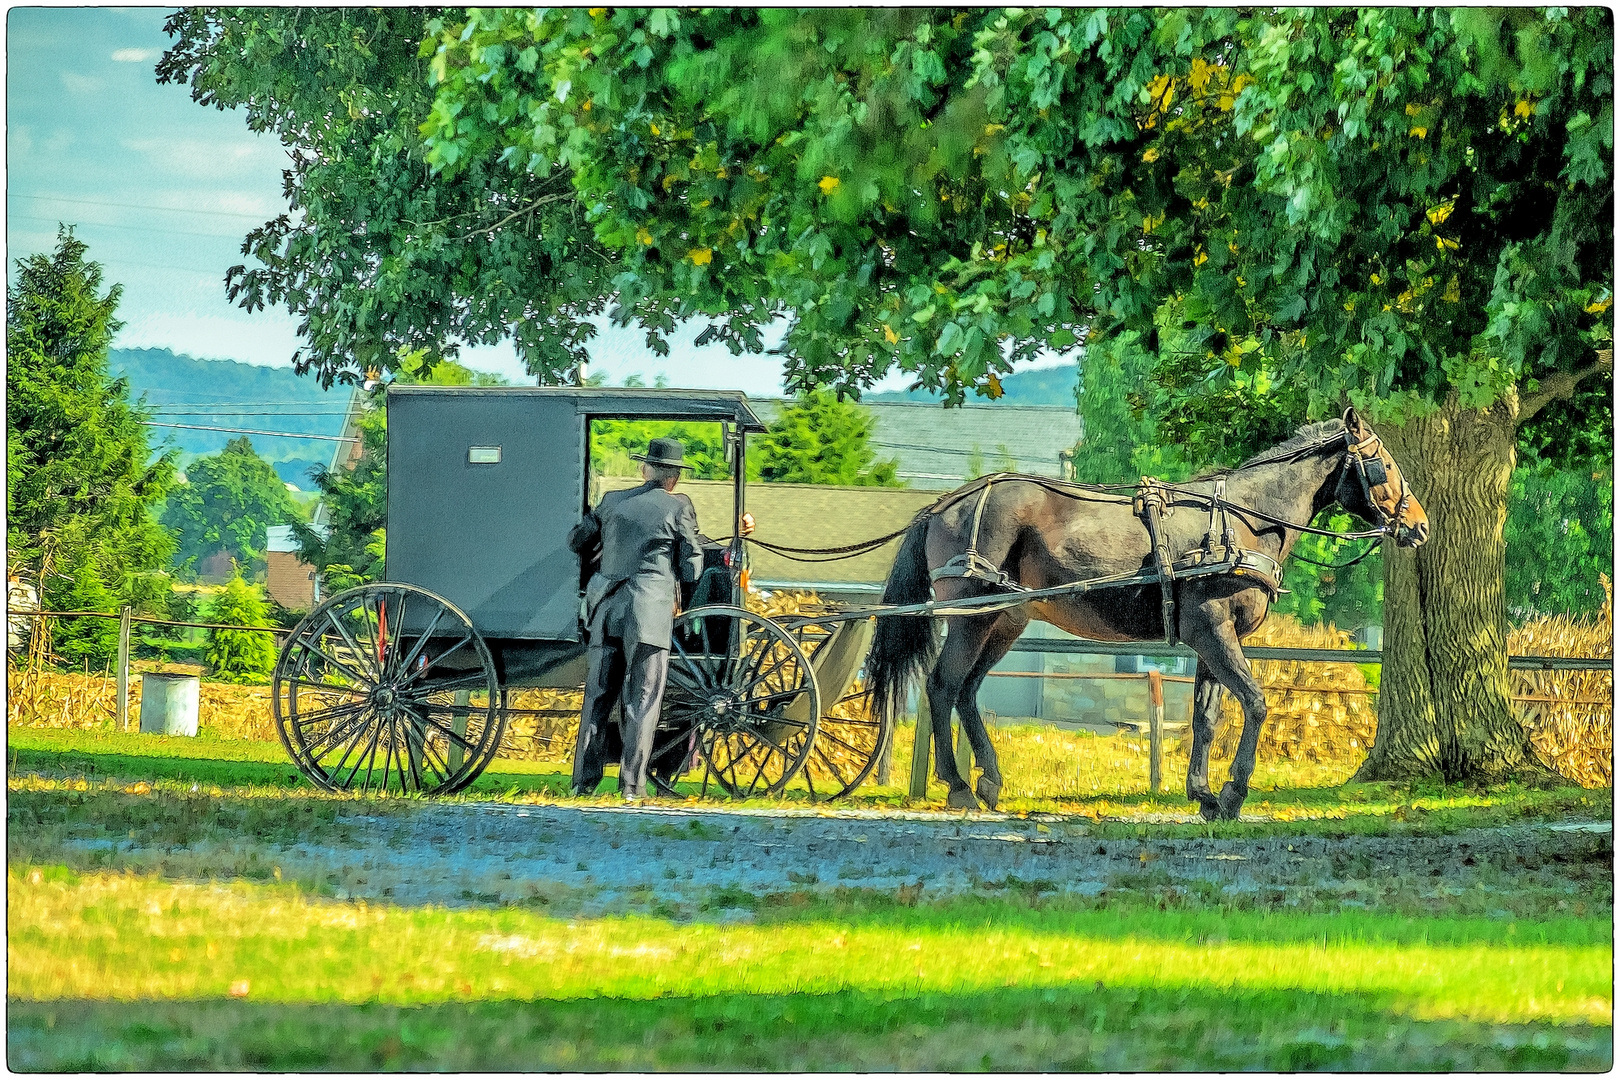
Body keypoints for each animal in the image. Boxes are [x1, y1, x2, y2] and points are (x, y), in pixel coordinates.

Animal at [868, 408, 1425, 819]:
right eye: (1383, 463)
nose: (1419, 526)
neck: (1241, 521)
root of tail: (944, 504)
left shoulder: (1210, 639)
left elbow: (1206, 717)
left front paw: (1203, 795)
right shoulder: (1214, 630)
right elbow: (1256, 703)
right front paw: (1233, 793)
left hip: (1006, 620)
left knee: (966, 690)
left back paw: (988, 780)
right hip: (973, 615)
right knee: (943, 685)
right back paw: (959, 785)